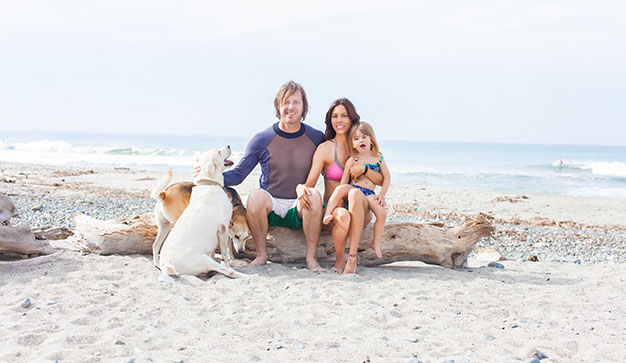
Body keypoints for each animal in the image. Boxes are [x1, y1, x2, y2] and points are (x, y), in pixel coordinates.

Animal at [156, 146, 249, 280]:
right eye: (218, 151)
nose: (228, 145)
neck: (209, 184)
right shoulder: (223, 228)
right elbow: (225, 254)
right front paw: (228, 262)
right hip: (202, 259)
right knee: (227, 271)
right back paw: (248, 276)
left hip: (164, 226)